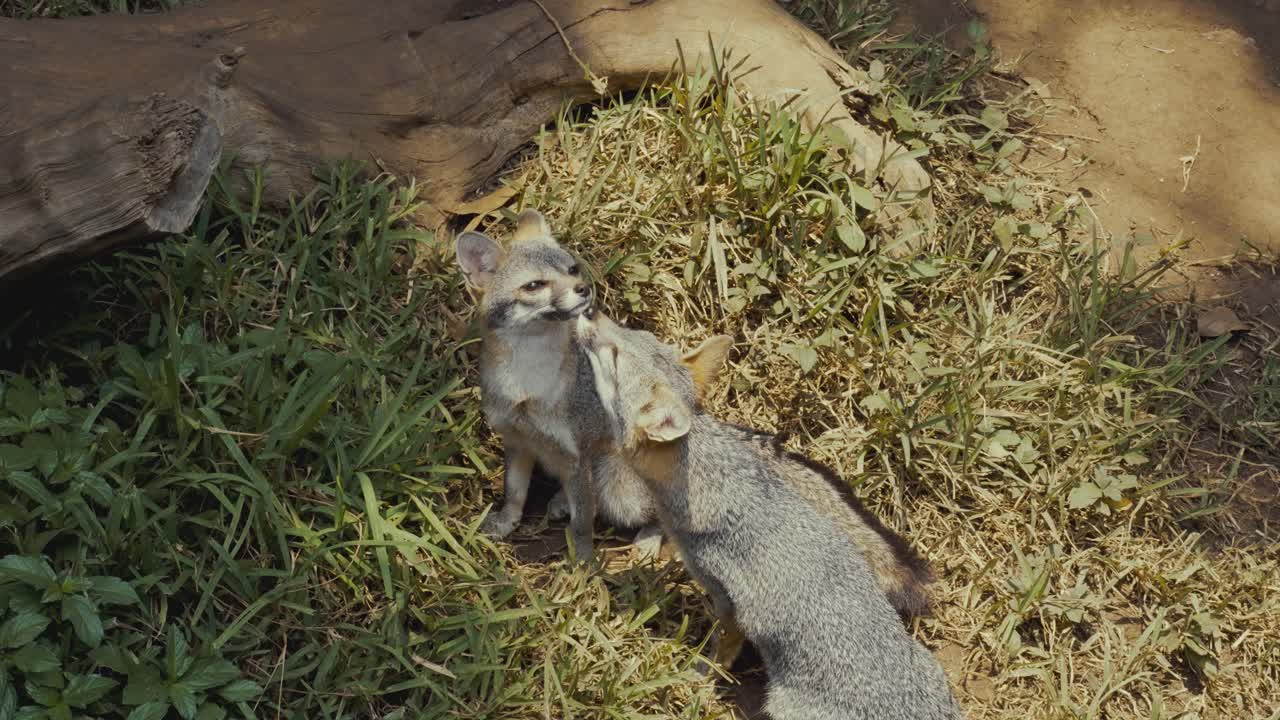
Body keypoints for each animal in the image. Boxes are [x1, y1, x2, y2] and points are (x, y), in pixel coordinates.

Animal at [573, 310, 963, 719]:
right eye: (634, 332)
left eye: (614, 357)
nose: (590, 310)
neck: (716, 480)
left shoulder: (730, 603)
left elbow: (720, 652)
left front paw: (696, 676)